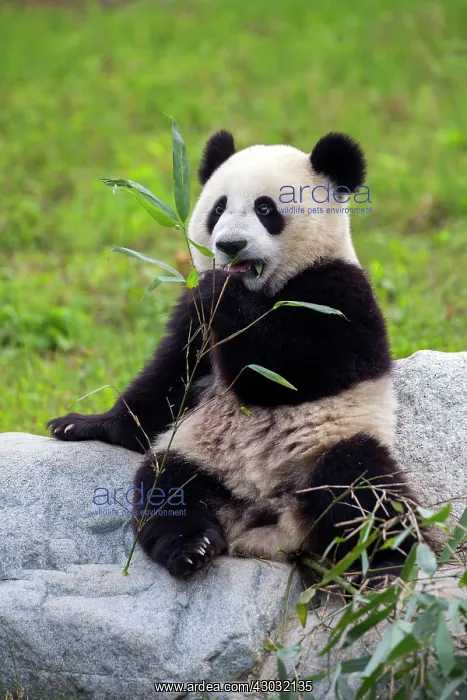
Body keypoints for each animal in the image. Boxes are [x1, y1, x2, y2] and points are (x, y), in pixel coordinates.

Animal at [49, 130, 424, 580]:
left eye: (266, 209)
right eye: (218, 208)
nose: (230, 246)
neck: (263, 289)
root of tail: (268, 520)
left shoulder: (341, 293)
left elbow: (295, 368)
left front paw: (226, 295)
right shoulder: (193, 322)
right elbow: (166, 381)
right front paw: (83, 424)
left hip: (332, 442)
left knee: (362, 491)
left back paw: (388, 563)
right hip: (197, 454)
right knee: (168, 490)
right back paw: (192, 548)